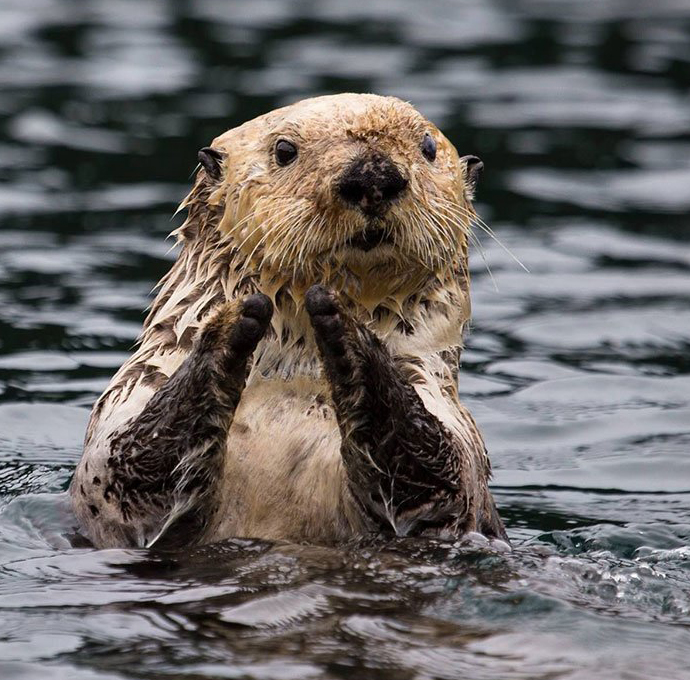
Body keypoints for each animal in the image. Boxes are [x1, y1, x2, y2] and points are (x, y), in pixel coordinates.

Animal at [70, 93, 506, 548]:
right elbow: (131, 469)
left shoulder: (453, 427)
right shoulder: (125, 408)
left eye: (428, 147)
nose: (372, 175)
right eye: (284, 150)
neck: (293, 375)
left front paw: (340, 319)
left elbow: (434, 473)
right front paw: (235, 319)